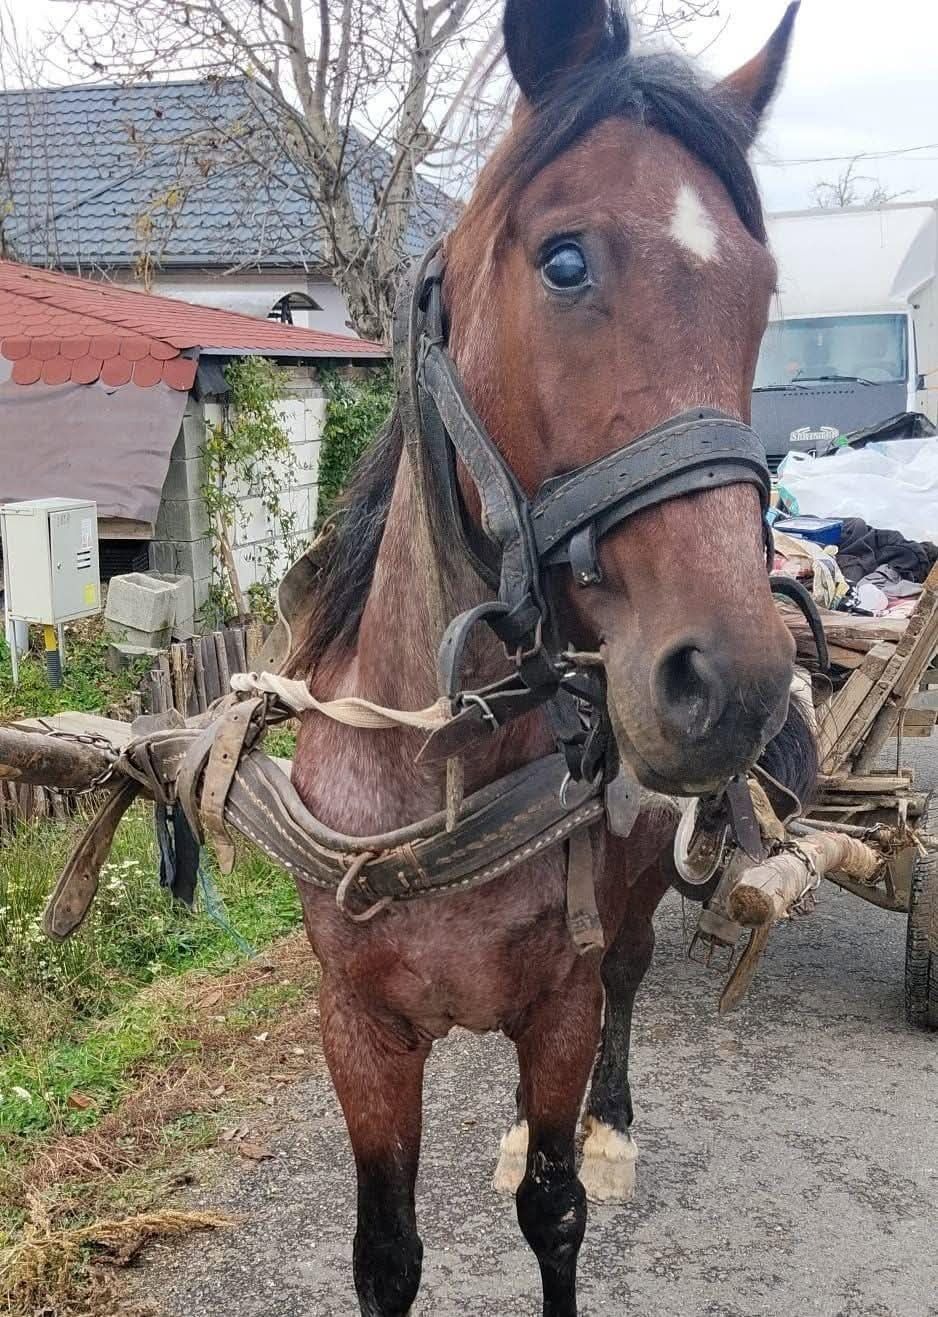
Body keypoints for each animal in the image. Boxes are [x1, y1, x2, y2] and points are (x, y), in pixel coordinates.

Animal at [286, 2, 813, 1312]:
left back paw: (609, 1124)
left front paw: (583, 1151)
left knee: (628, 977)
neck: (438, 782)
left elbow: (553, 1211)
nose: (731, 683)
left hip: (623, 910)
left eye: (760, 291)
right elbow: (385, 1252)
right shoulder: (358, 1031)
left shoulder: (559, 1005)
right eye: (564, 262)